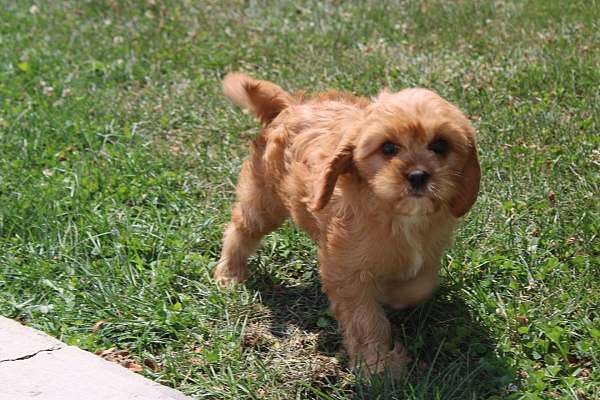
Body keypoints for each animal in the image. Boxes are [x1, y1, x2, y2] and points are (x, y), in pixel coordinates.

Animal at [213, 72, 480, 376]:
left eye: (440, 145)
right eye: (388, 148)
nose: (417, 175)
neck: (398, 215)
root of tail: (288, 106)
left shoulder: (428, 252)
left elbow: (421, 284)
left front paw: (393, 294)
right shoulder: (347, 270)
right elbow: (365, 319)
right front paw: (377, 363)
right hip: (265, 202)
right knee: (241, 228)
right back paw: (230, 273)